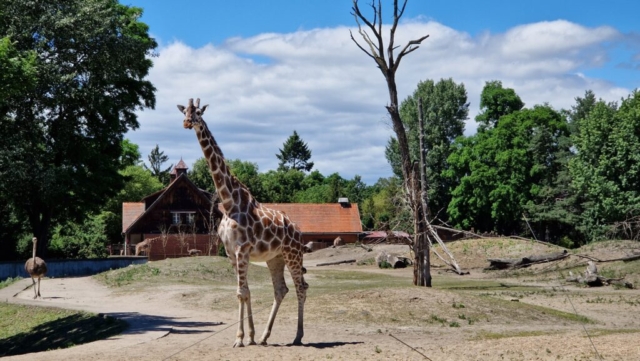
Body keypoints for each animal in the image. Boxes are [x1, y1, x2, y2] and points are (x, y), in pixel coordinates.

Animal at [176, 98, 308, 346]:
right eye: (185, 111)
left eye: (198, 112)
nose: (187, 122)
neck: (229, 203)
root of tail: (298, 230)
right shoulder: (231, 253)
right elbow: (244, 292)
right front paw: (251, 337)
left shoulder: (242, 249)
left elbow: (242, 292)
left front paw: (240, 338)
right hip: (275, 258)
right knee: (281, 290)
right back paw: (265, 336)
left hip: (293, 253)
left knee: (301, 287)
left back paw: (297, 336)